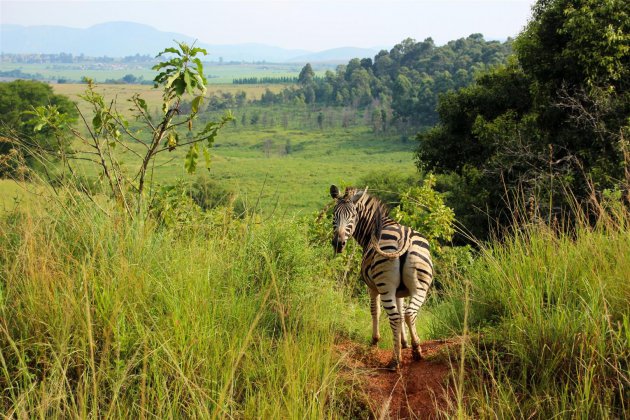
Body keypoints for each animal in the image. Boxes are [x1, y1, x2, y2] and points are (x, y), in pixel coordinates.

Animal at [330, 185, 434, 370]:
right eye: (334, 214)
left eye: (352, 216)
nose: (338, 244)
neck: (375, 225)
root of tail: (405, 237)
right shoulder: (400, 292)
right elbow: (401, 310)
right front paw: (404, 342)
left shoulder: (372, 287)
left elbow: (375, 310)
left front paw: (375, 340)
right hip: (420, 286)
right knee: (408, 313)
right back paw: (416, 350)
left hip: (385, 286)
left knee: (394, 316)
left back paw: (395, 361)